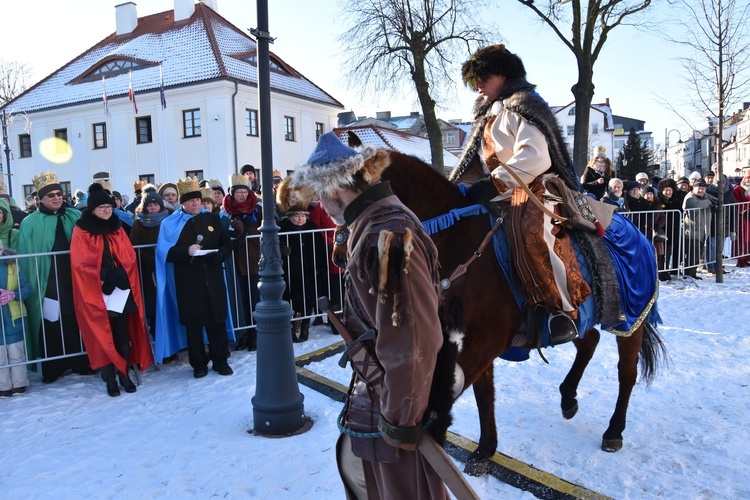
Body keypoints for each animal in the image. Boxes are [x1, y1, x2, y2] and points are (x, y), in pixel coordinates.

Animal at [338, 132, 668, 472]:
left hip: (631, 317)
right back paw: (568, 397)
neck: (457, 239)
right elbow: (483, 392)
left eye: (353, 200)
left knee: (626, 371)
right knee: (588, 341)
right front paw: (485, 449)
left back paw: (614, 430)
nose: (339, 257)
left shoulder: (484, 341)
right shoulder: (462, 340)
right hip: (581, 313)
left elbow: (451, 392)